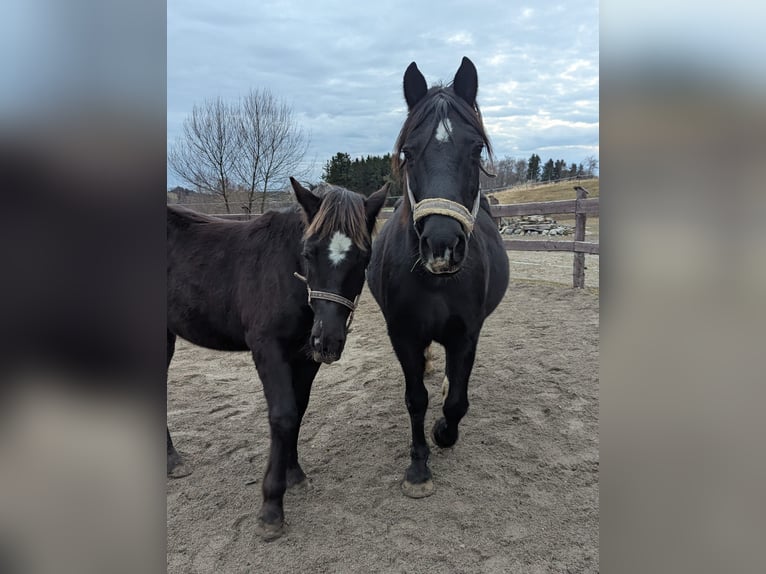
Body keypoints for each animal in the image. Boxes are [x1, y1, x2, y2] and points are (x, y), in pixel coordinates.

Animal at [167, 178, 387, 540]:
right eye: (309, 253)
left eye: (364, 257)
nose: (328, 341)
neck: (285, 273)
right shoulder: (267, 348)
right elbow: (283, 416)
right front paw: (271, 507)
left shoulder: (305, 357)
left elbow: (299, 411)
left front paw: (294, 473)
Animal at [367, 57, 510, 498]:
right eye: (408, 152)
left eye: (476, 149)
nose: (442, 246)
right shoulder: (404, 334)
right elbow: (416, 399)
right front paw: (418, 466)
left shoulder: (466, 334)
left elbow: (457, 402)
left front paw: (444, 433)